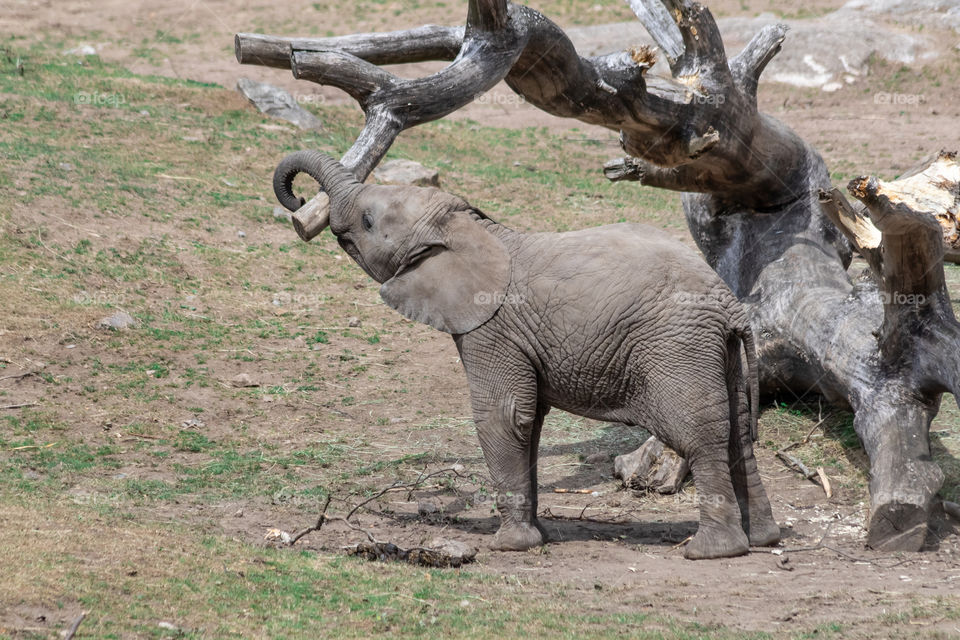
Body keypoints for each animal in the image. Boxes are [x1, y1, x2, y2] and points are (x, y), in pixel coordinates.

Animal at [273, 150, 781, 559]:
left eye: (368, 221)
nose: (298, 206)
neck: (474, 230)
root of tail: (730, 304)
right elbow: (529, 422)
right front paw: (537, 537)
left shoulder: (490, 328)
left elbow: (503, 416)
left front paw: (509, 546)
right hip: (719, 353)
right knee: (739, 436)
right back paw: (763, 540)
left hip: (677, 348)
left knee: (701, 438)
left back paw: (712, 551)